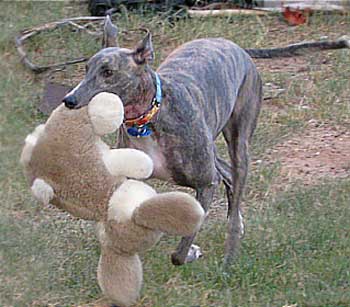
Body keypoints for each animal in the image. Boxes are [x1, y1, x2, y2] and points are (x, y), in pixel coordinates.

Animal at [63, 17, 350, 268]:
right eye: (87, 69)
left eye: (108, 72)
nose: (69, 100)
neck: (150, 118)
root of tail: (237, 47)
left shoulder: (204, 184)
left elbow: (180, 249)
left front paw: (190, 252)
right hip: (213, 146)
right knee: (227, 174)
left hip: (239, 141)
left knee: (233, 184)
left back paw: (229, 258)